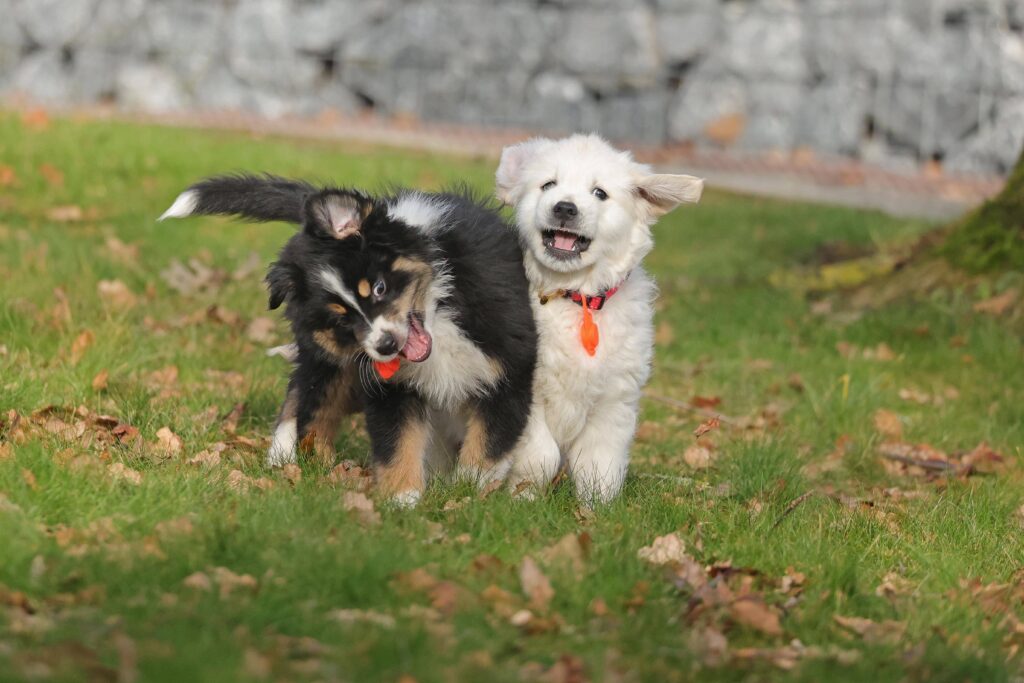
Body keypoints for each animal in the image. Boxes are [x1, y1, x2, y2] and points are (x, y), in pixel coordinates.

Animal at [159, 176, 536, 507]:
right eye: (343, 318)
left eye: (380, 287)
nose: (385, 347)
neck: (437, 310)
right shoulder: (391, 386)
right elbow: (397, 441)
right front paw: (404, 501)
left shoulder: (508, 367)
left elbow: (488, 441)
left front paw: (470, 492)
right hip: (328, 355)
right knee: (309, 395)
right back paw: (293, 457)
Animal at [495, 133, 704, 505]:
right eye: (549, 184)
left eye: (599, 193)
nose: (565, 208)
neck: (575, 297)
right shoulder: (526, 395)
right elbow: (540, 454)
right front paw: (523, 499)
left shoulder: (613, 401)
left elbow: (600, 464)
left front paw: (597, 510)